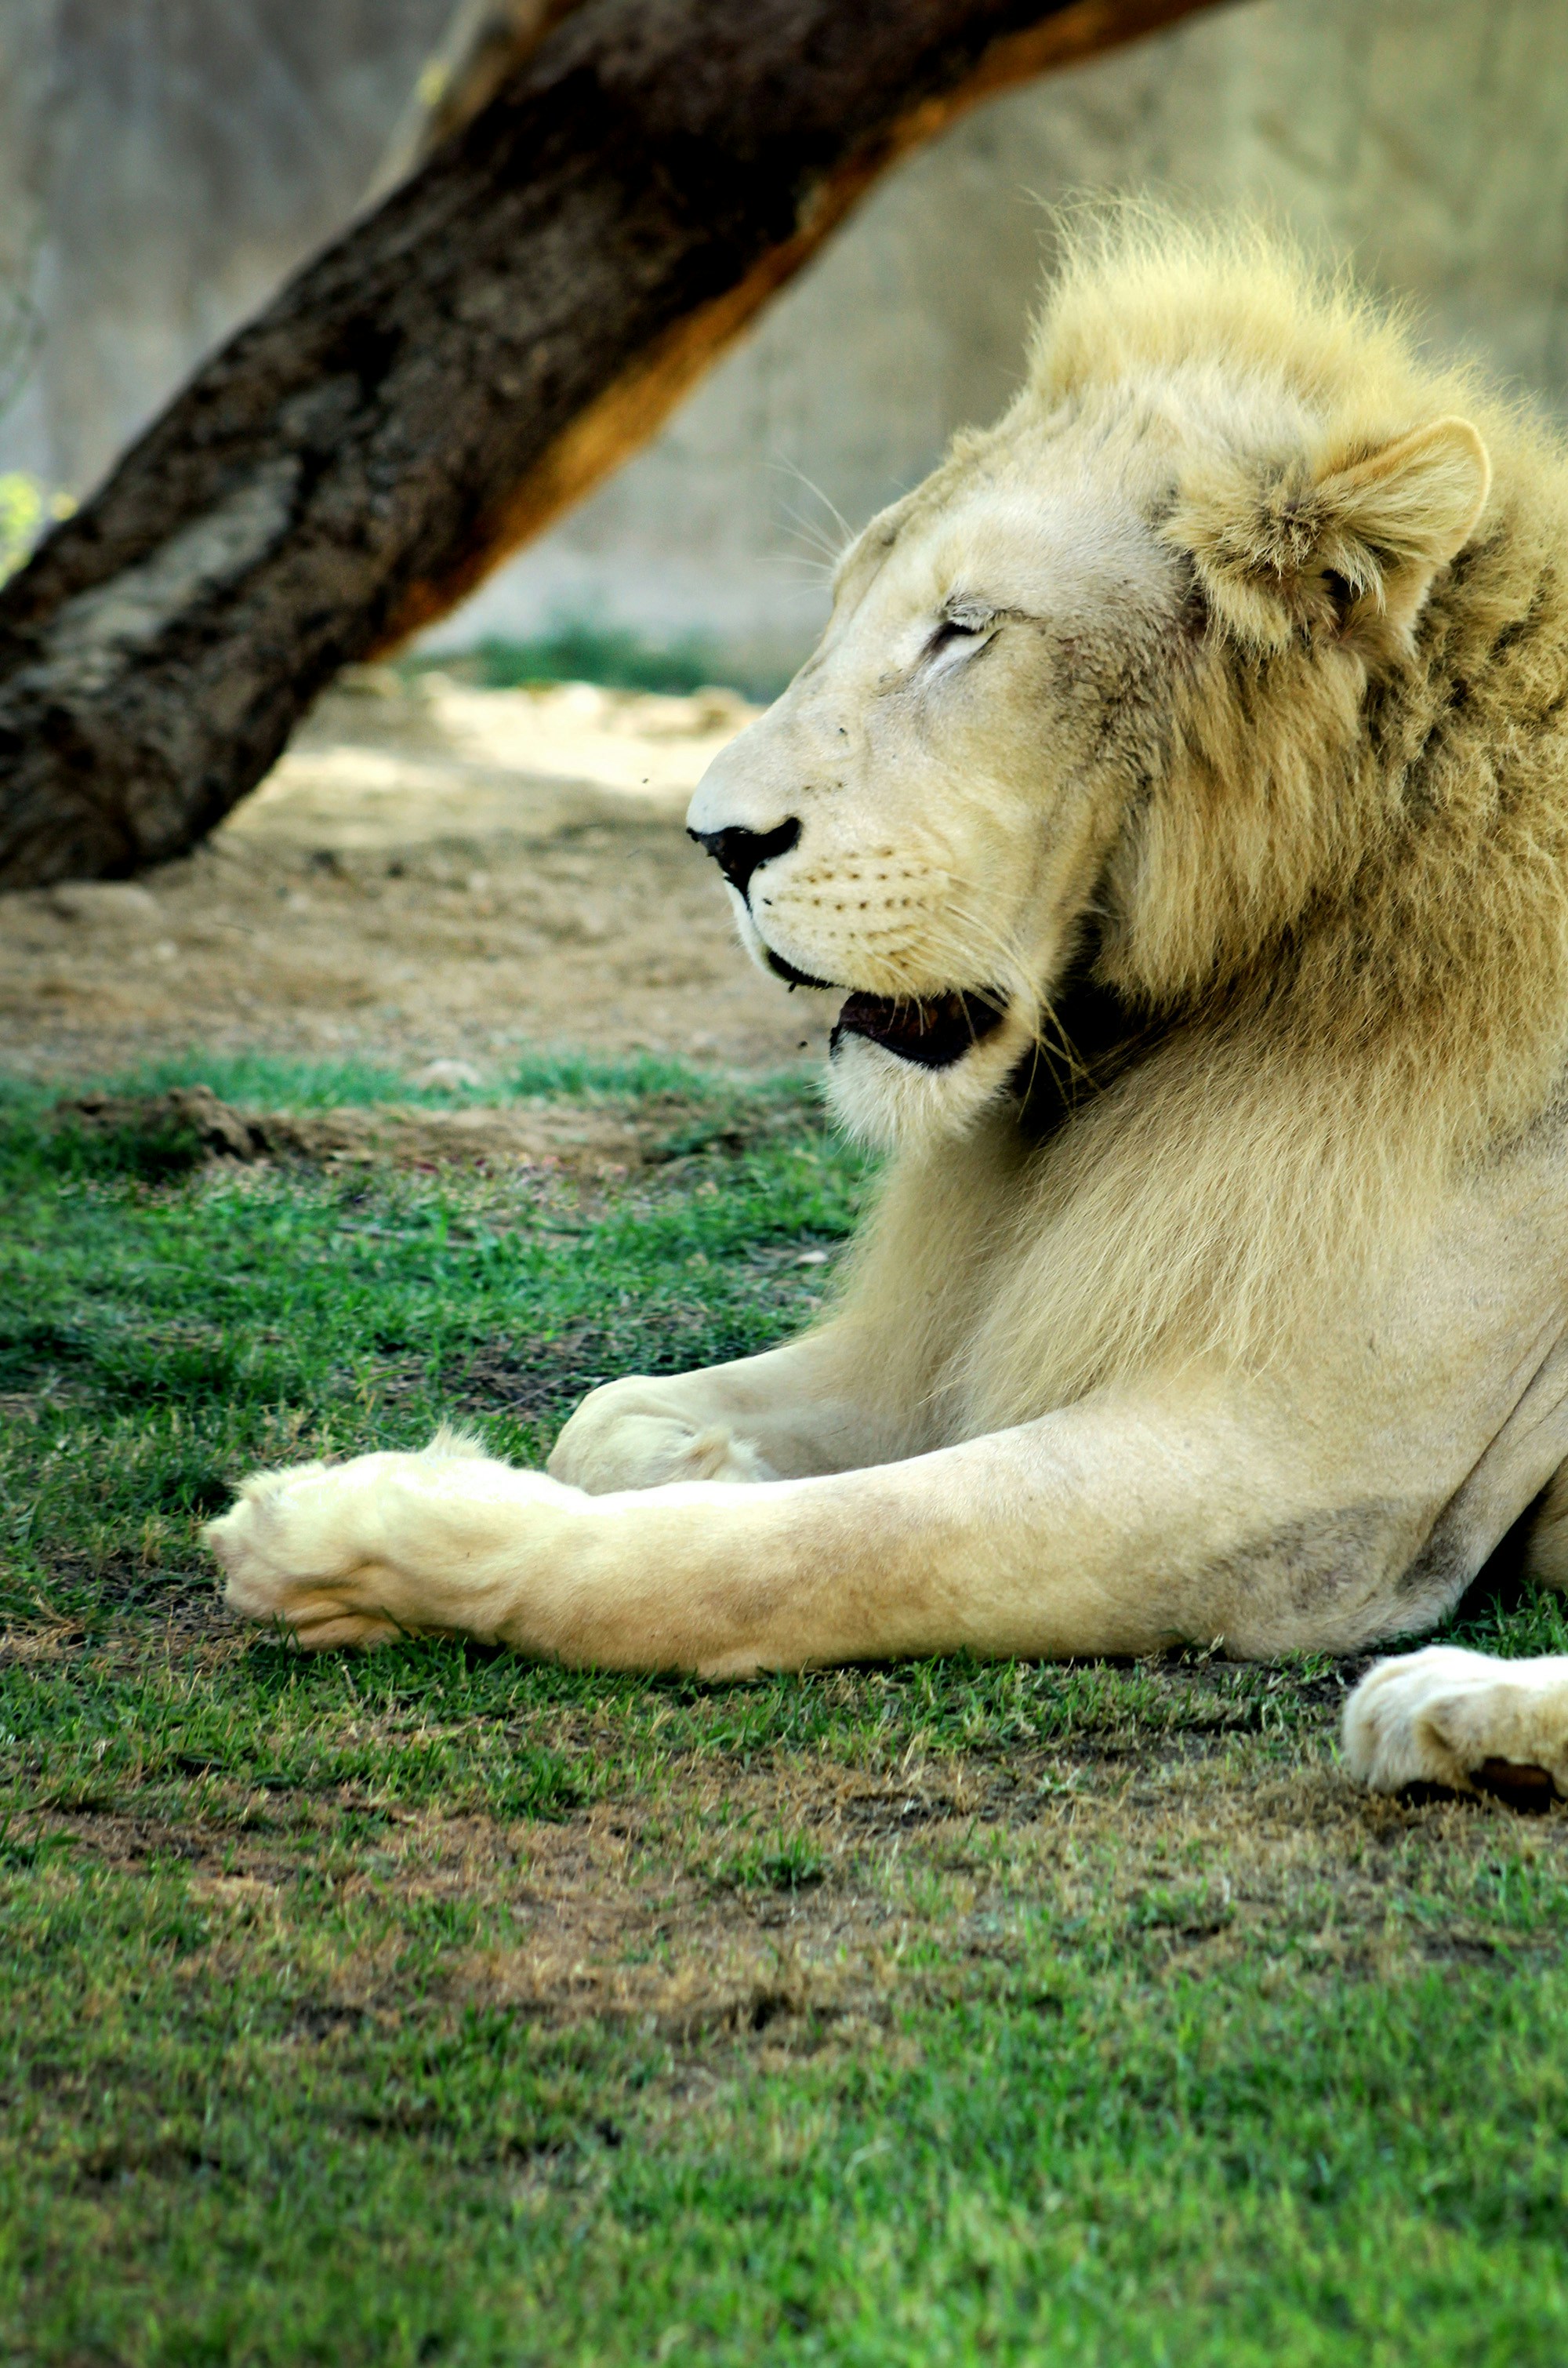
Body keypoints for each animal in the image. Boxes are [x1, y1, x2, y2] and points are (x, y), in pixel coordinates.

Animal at [209, 212, 1568, 1801]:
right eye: (847, 611)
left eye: (963, 632)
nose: (714, 843)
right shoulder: (975, 1329)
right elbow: (614, 1418)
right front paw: (700, 1459)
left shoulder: (1302, 1480)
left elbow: (794, 1555)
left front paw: (349, 1534)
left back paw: (1445, 1707)